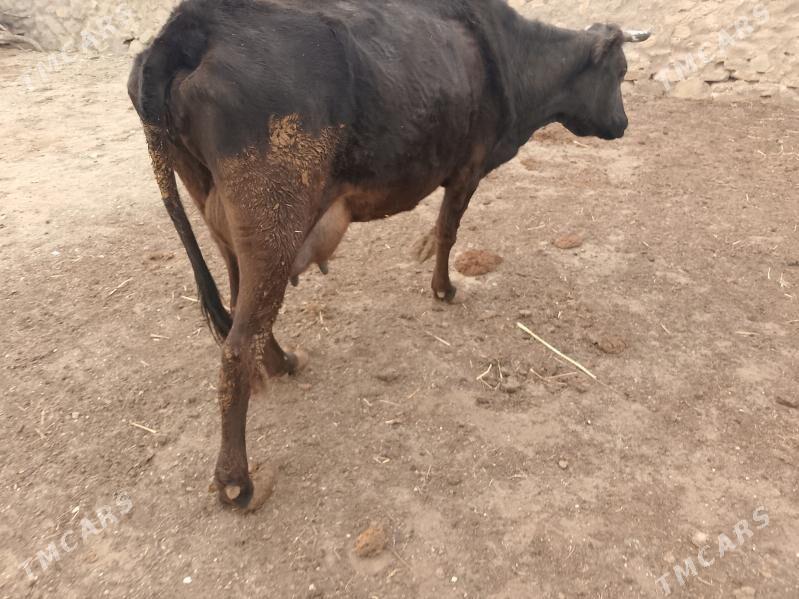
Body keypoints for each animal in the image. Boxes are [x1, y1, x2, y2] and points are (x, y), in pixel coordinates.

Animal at [128, 0, 650, 510]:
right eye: (621, 71)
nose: (623, 125)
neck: (509, 54)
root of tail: (193, 24)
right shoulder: (467, 169)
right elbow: (447, 232)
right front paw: (443, 289)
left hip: (225, 225)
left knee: (244, 315)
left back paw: (282, 363)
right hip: (273, 223)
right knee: (237, 346)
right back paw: (236, 482)